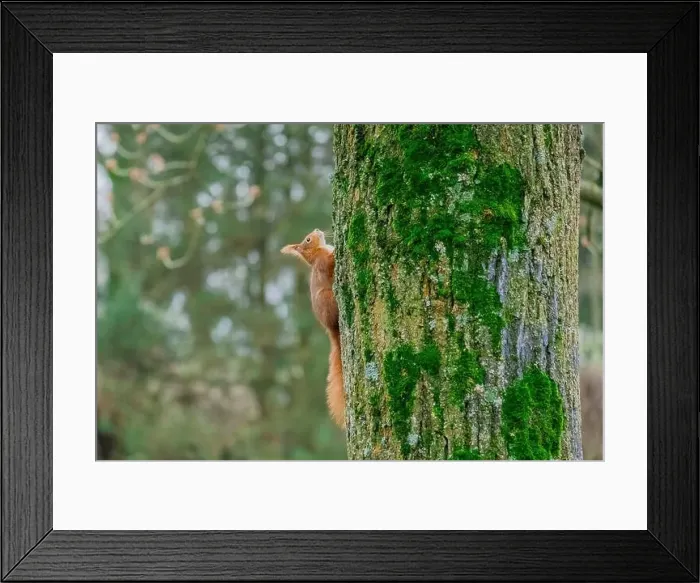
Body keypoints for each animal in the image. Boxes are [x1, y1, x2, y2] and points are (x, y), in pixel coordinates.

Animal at [281, 229, 345, 429]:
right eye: (308, 239)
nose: (317, 230)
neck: (318, 251)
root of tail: (331, 328)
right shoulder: (323, 262)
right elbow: (330, 261)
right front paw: (337, 250)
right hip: (329, 299)